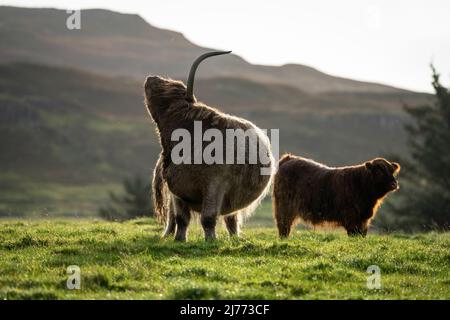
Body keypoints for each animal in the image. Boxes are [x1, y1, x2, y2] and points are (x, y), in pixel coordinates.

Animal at [148, 50, 274, 240]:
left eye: (171, 88)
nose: (150, 78)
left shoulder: (215, 185)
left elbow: (208, 217)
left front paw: (210, 240)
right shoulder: (176, 191)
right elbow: (181, 218)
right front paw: (179, 240)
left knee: (231, 219)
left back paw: (235, 238)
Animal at [272, 155, 400, 238]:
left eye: (392, 172)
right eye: (379, 172)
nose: (394, 184)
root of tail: (289, 158)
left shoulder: (364, 219)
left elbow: (362, 234)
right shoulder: (351, 218)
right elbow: (354, 234)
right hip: (284, 207)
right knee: (284, 225)